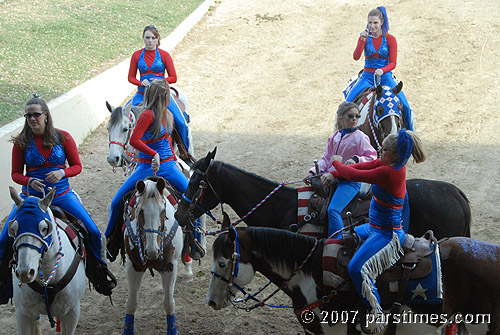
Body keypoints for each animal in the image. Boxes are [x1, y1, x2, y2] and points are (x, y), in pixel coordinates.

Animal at [121, 177, 184, 334]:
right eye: (140, 211)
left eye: (163, 211)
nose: (152, 250)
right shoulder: (134, 266)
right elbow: (131, 303)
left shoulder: (170, 266)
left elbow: (169, 304)